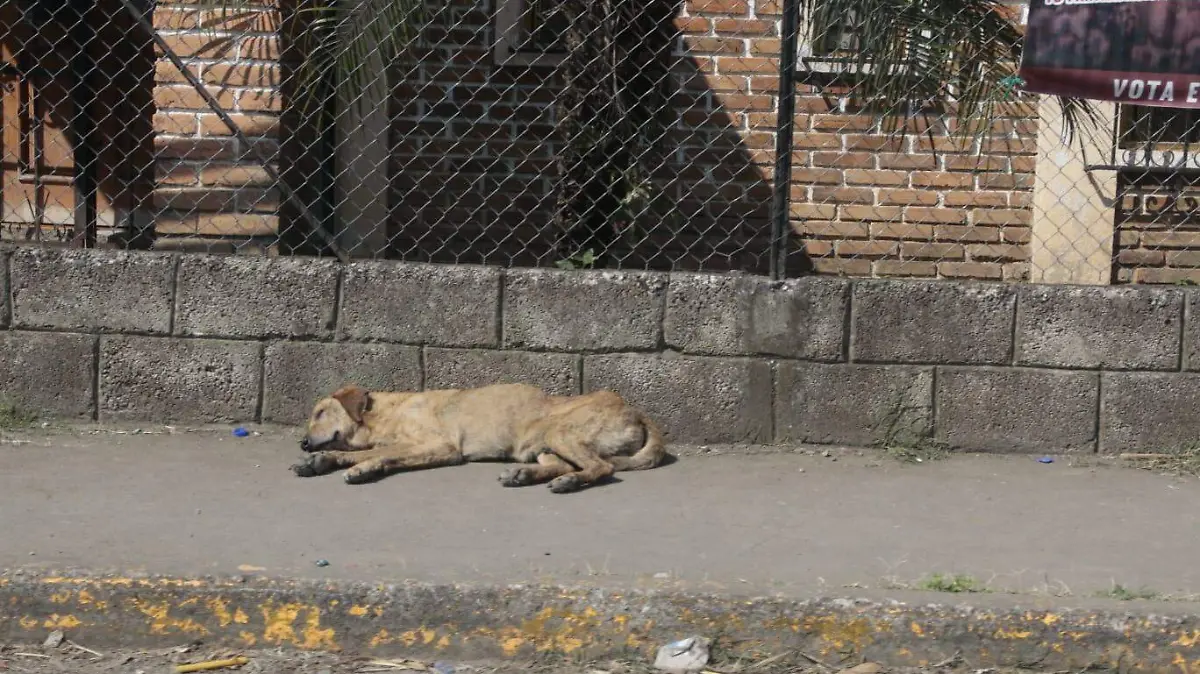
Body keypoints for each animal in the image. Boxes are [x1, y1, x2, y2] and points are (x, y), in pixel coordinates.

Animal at [291, 383, 668, 492]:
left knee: (602, 467)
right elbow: (364, 452)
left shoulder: (439, 445)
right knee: (562, 465)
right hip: (542, 444)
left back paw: (570, 483)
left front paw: (362, 468)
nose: (304, 443)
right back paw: (523, 475)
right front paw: (320, 461)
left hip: (560, 432)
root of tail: (634, 409)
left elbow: (381, 454)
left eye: (320, 412)